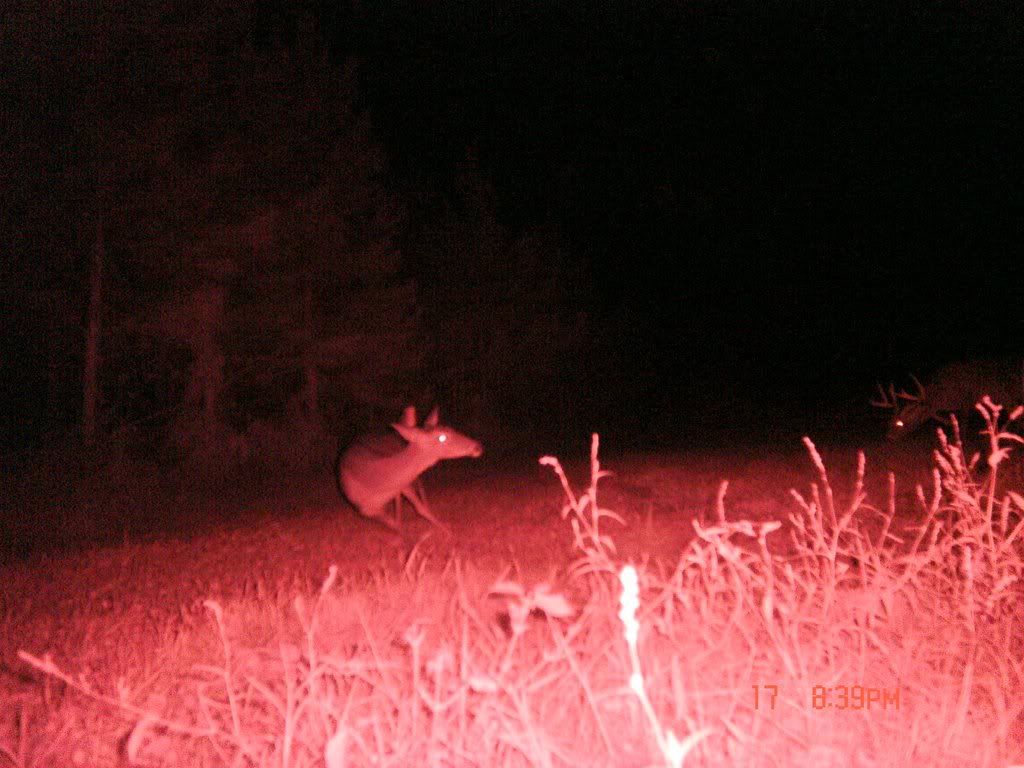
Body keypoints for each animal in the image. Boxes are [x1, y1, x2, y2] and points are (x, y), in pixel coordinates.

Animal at [335, 405, 483, 532]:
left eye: (450, 428)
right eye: (442, 437)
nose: (477, 446)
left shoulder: (404, 484)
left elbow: (420, 508)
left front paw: (446, 529)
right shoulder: (366, 509)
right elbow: (396, 524)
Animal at [872, 359, 1024, 441]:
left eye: (900, 423)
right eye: (890, 421)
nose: (888, 436)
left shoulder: (966, 401)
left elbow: (963, 426)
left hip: (1008, 394)